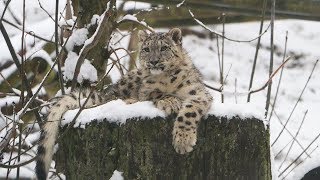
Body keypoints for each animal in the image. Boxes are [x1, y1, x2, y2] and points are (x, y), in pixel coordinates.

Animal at [35, 27, 212, 179]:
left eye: (164, 48)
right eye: (146, 49)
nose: (153, 61)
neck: (166, 79)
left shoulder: (199, 94)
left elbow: (189, 112)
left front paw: (183, 141)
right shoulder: (146, 91)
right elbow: (155, 93)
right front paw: (170, 102)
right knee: (112, 98)